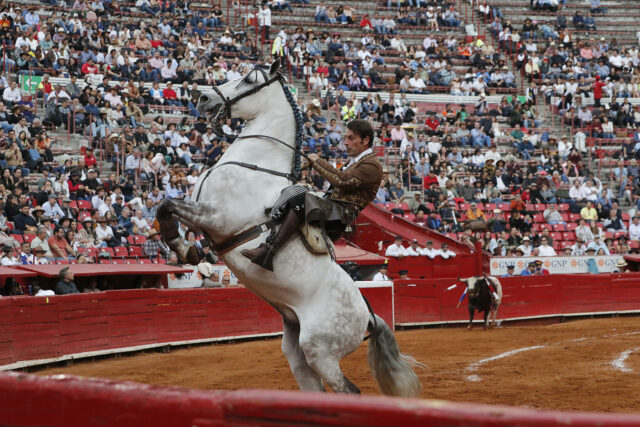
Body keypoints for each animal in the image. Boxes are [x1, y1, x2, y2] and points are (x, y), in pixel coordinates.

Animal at [157, 61, 422, 398]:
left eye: (248, 79)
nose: (204, 97)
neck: (256, 163)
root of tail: (370, 315)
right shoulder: (203, 216)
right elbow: (165, 205)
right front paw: (186, 247)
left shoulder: (217, 218)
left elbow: (167, 204)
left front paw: (182, 247)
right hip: (296, 351)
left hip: (319, 350)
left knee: (348, 391)